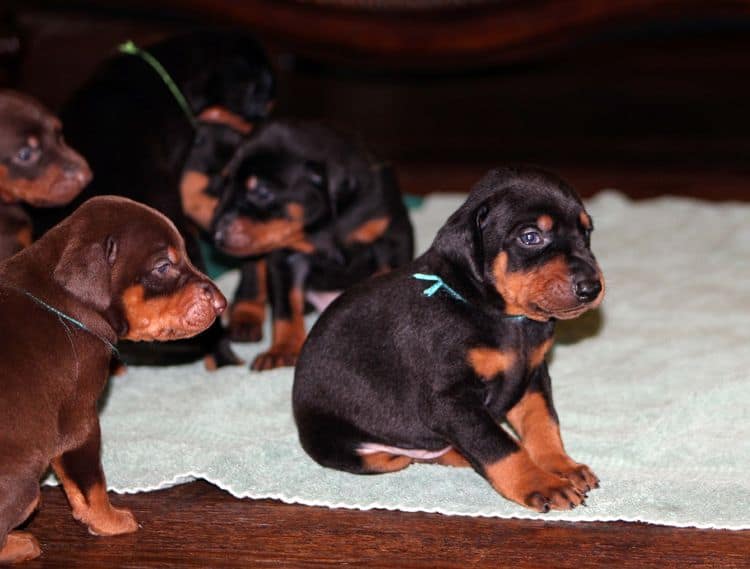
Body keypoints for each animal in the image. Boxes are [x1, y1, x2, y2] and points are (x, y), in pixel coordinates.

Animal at [0, 196, 229, 564]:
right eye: (163, 266)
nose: (223, 304)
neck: (66, 302)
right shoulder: (80, 424)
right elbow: (91, 484)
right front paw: (111, 522)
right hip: (25, 483)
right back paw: (22, 543)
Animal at [212, 119, 414, 368]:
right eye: (225, 184)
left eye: (263, 191)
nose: (216, 235)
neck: (324, 224)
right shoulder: (286, 257)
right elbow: (286, 308)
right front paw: (282, 350)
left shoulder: (392, 236)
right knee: (252, 277)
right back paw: (245, 320)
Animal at [294, 166, 604, 512]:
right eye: (530, 237)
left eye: (586, 233)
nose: (592, 287)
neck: (501, 315)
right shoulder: (450, 401)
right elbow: (499, 445)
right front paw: (542, 483)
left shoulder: (532, 376)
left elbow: (543, 424)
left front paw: (561, 466)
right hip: (358, 450)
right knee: (409, 456)